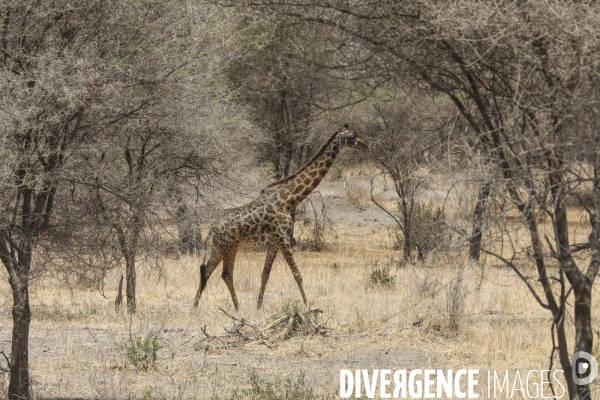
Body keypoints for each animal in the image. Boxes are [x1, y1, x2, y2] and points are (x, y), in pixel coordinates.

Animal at [195, 123, 368, 310]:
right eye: (352, 136)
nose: (366, 146)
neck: (288, 199)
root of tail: (212, 227)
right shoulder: (283, 238)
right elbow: (297, 273)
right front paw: (308, 307)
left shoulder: (274, 243)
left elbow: (265, 274)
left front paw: (258, 308)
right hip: (230, 247)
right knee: (226, 274)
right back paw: (238, 308)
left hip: (218, 248)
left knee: (206, 271)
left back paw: (194, 307)